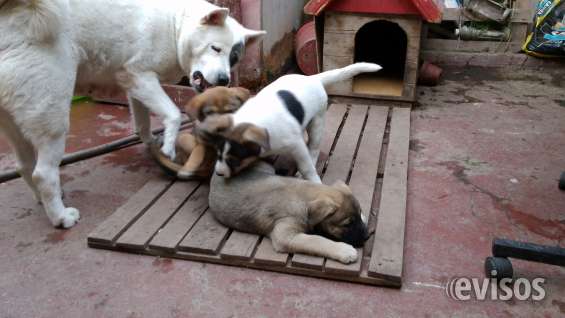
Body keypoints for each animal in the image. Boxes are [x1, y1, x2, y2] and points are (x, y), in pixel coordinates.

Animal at [0, 0, 264, 229]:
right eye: (215, 48)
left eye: (234, 59)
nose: (224, 80)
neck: (173, 25)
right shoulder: (140, 76)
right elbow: (173, 113)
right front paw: (168, 147)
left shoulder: (133, 82)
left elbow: (143, 123)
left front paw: (154, 147)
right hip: (52, 114)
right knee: (43, 174)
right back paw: (61, 217)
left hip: (16, 121)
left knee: (24, 166)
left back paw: (43, 200)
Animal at [196, 62, 382, 183]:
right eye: (218, 154)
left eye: (233, 160)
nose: (219, 174)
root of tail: (313, 79)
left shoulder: (296, 146)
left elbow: (307, 167)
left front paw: (314, 182)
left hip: (317, 122)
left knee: (314, 147)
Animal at [209, 161, 368, 264]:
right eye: (347, 224)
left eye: (358, 216)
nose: (367, 236)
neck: (304, 197)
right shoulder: (285, 235)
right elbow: (316, 240)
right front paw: (343, 250)